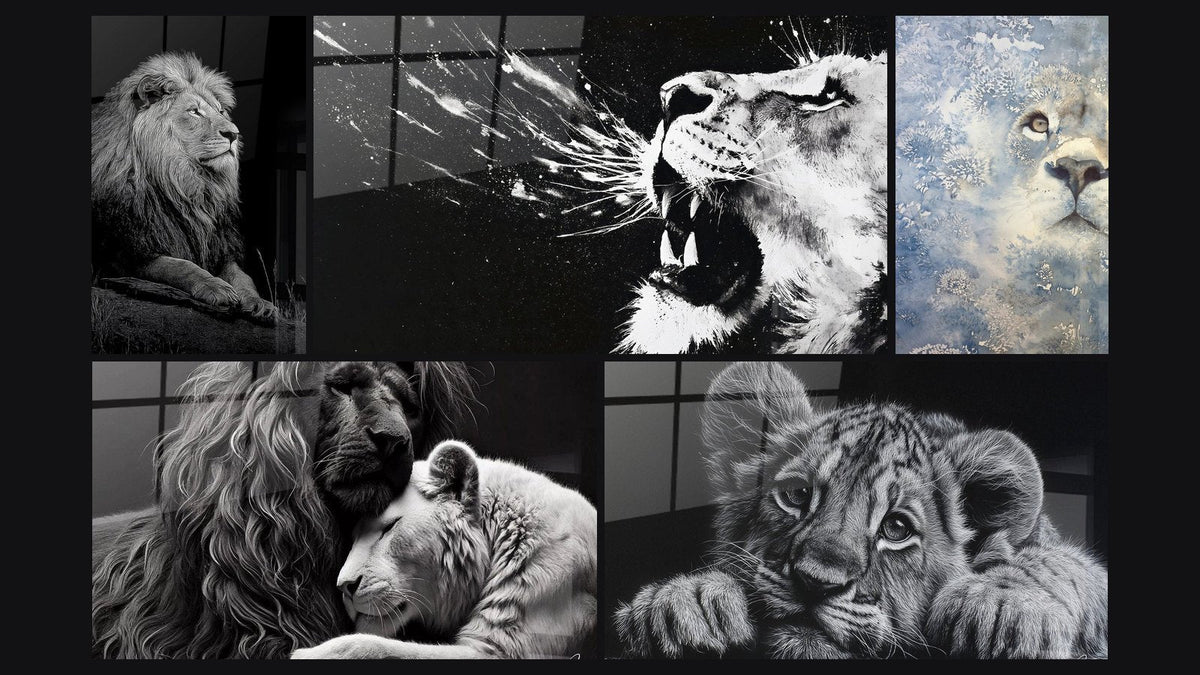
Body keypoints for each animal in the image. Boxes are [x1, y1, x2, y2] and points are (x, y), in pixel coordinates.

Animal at [91, 52, 277, 322]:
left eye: (221, 111)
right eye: (195, 112)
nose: (234, 134)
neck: (190, 188)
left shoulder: (220, 248)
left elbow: (243, 276)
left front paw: (260, 302)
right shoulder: (126, 253)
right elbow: (180, 266)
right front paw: (217, 287)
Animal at [293, 440, 597, 659]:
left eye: (389, 527)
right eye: (354, 536)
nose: (344, 587)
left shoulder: (499, 649)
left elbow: (372, 647)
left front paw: (306, 654)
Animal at [614, 362, 1108, 658]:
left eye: (896, 528)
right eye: (797, 496)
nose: (815, 583)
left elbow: (1057, 562)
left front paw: (999, 607)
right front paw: (682, 602)